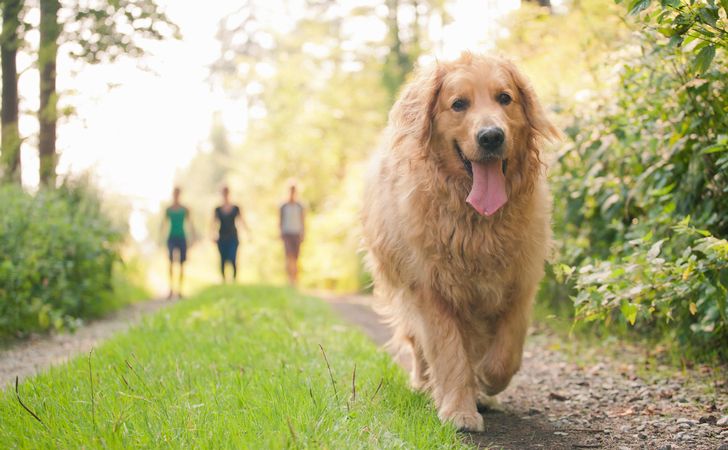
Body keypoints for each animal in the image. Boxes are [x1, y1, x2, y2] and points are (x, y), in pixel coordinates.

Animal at [362, 51, 560, 430]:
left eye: (504, 98)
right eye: (458, 104)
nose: (491, 137)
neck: (478, 222)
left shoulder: (519, 283)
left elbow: (505, 353)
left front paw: (486, 383)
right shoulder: (432, 290)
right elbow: (450, 353)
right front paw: (459, 410)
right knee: (419, 346)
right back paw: (424, 384)